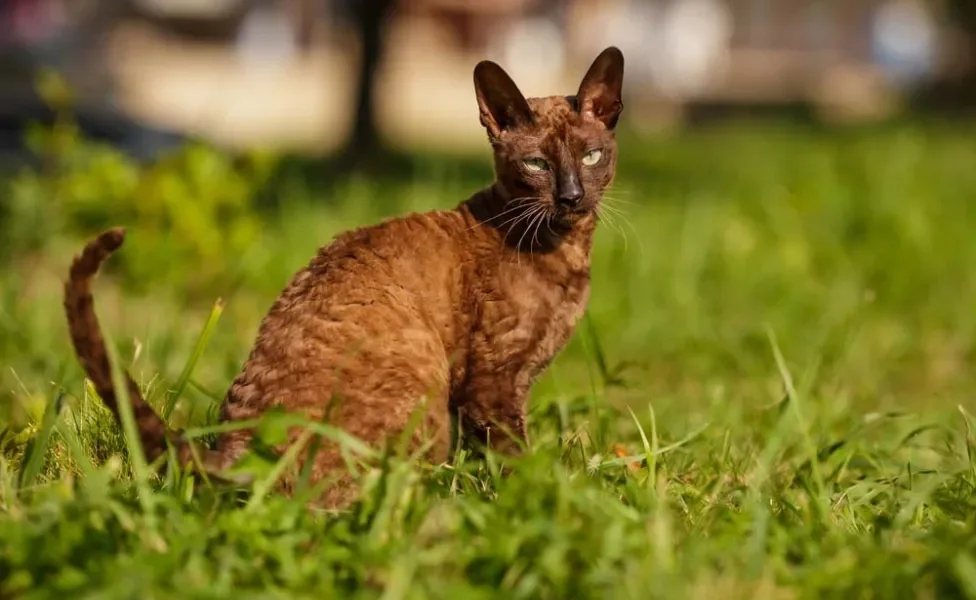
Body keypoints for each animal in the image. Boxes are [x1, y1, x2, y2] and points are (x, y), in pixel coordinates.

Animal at [63, 45, 624, 506]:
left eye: (592, 156)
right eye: (536, 164)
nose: (572, 196)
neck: (567, 255)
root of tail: (239, 449)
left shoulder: (504, 389)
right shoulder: (492, 388)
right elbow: (517, 466)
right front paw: (550, 500)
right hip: (425, 389)